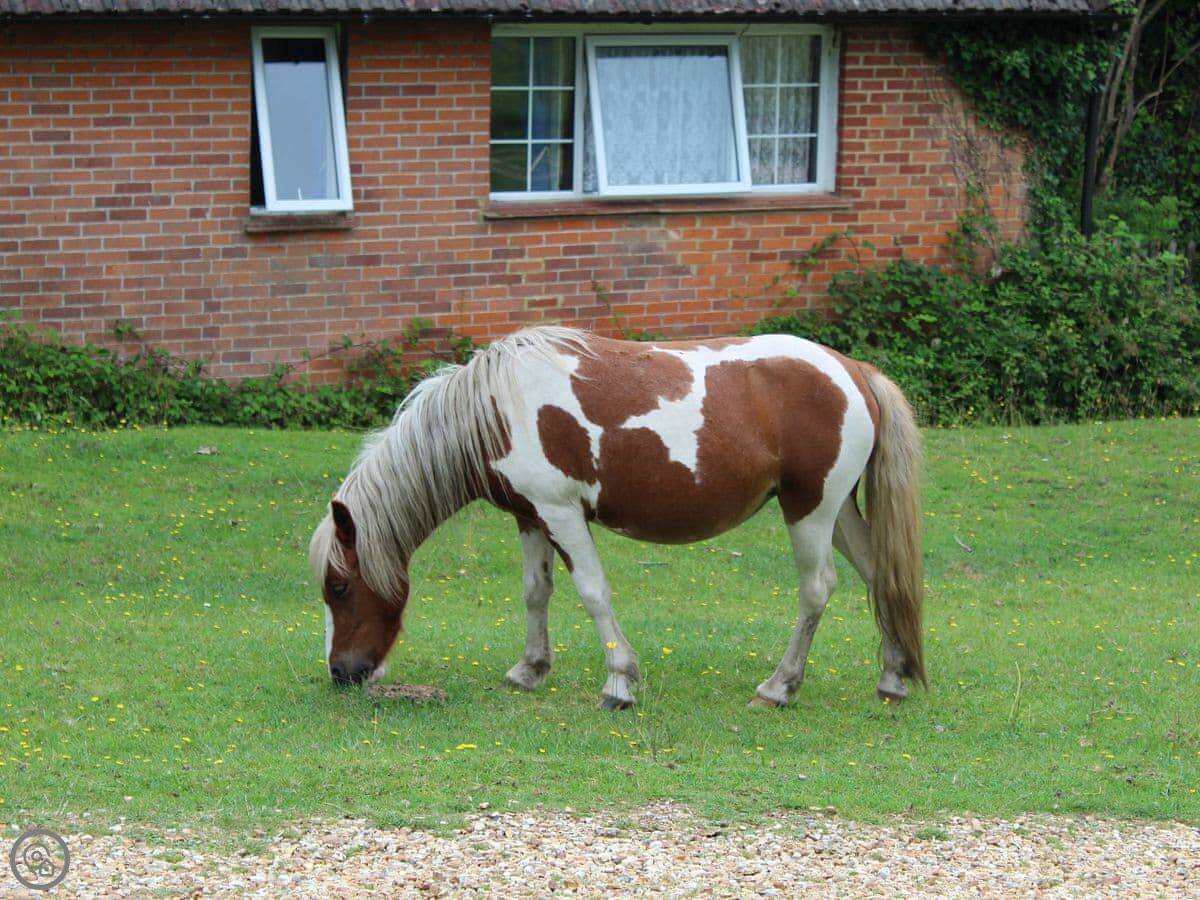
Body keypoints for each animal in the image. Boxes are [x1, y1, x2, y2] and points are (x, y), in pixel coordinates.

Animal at [310, 326, 925, 710]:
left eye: (339, 587)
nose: (340, 673)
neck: (496, 410)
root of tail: (853, 370)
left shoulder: (561, 513)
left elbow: (592, 592)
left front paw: (619, 684)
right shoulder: (531, 517)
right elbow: (536, 591)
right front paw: (529, 670)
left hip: (810, 509)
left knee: (817, 590)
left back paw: (779, 687)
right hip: (837, 510)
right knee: (880, 578)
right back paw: (893, 678)